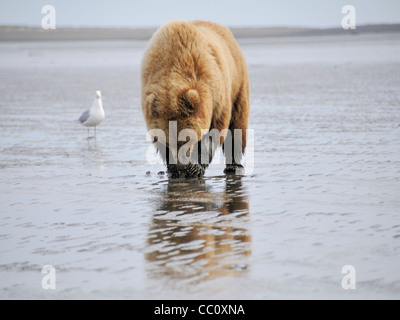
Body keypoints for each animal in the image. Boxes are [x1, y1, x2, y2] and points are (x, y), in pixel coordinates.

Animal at [141, 20, 250, 178]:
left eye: (187, 139)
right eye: (169, 142)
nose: (181, 166)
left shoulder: (215, 95)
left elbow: (213, 132)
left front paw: (195, 167)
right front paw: (172, 168)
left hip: (237, 82)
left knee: (237, 124)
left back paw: (234, 165)